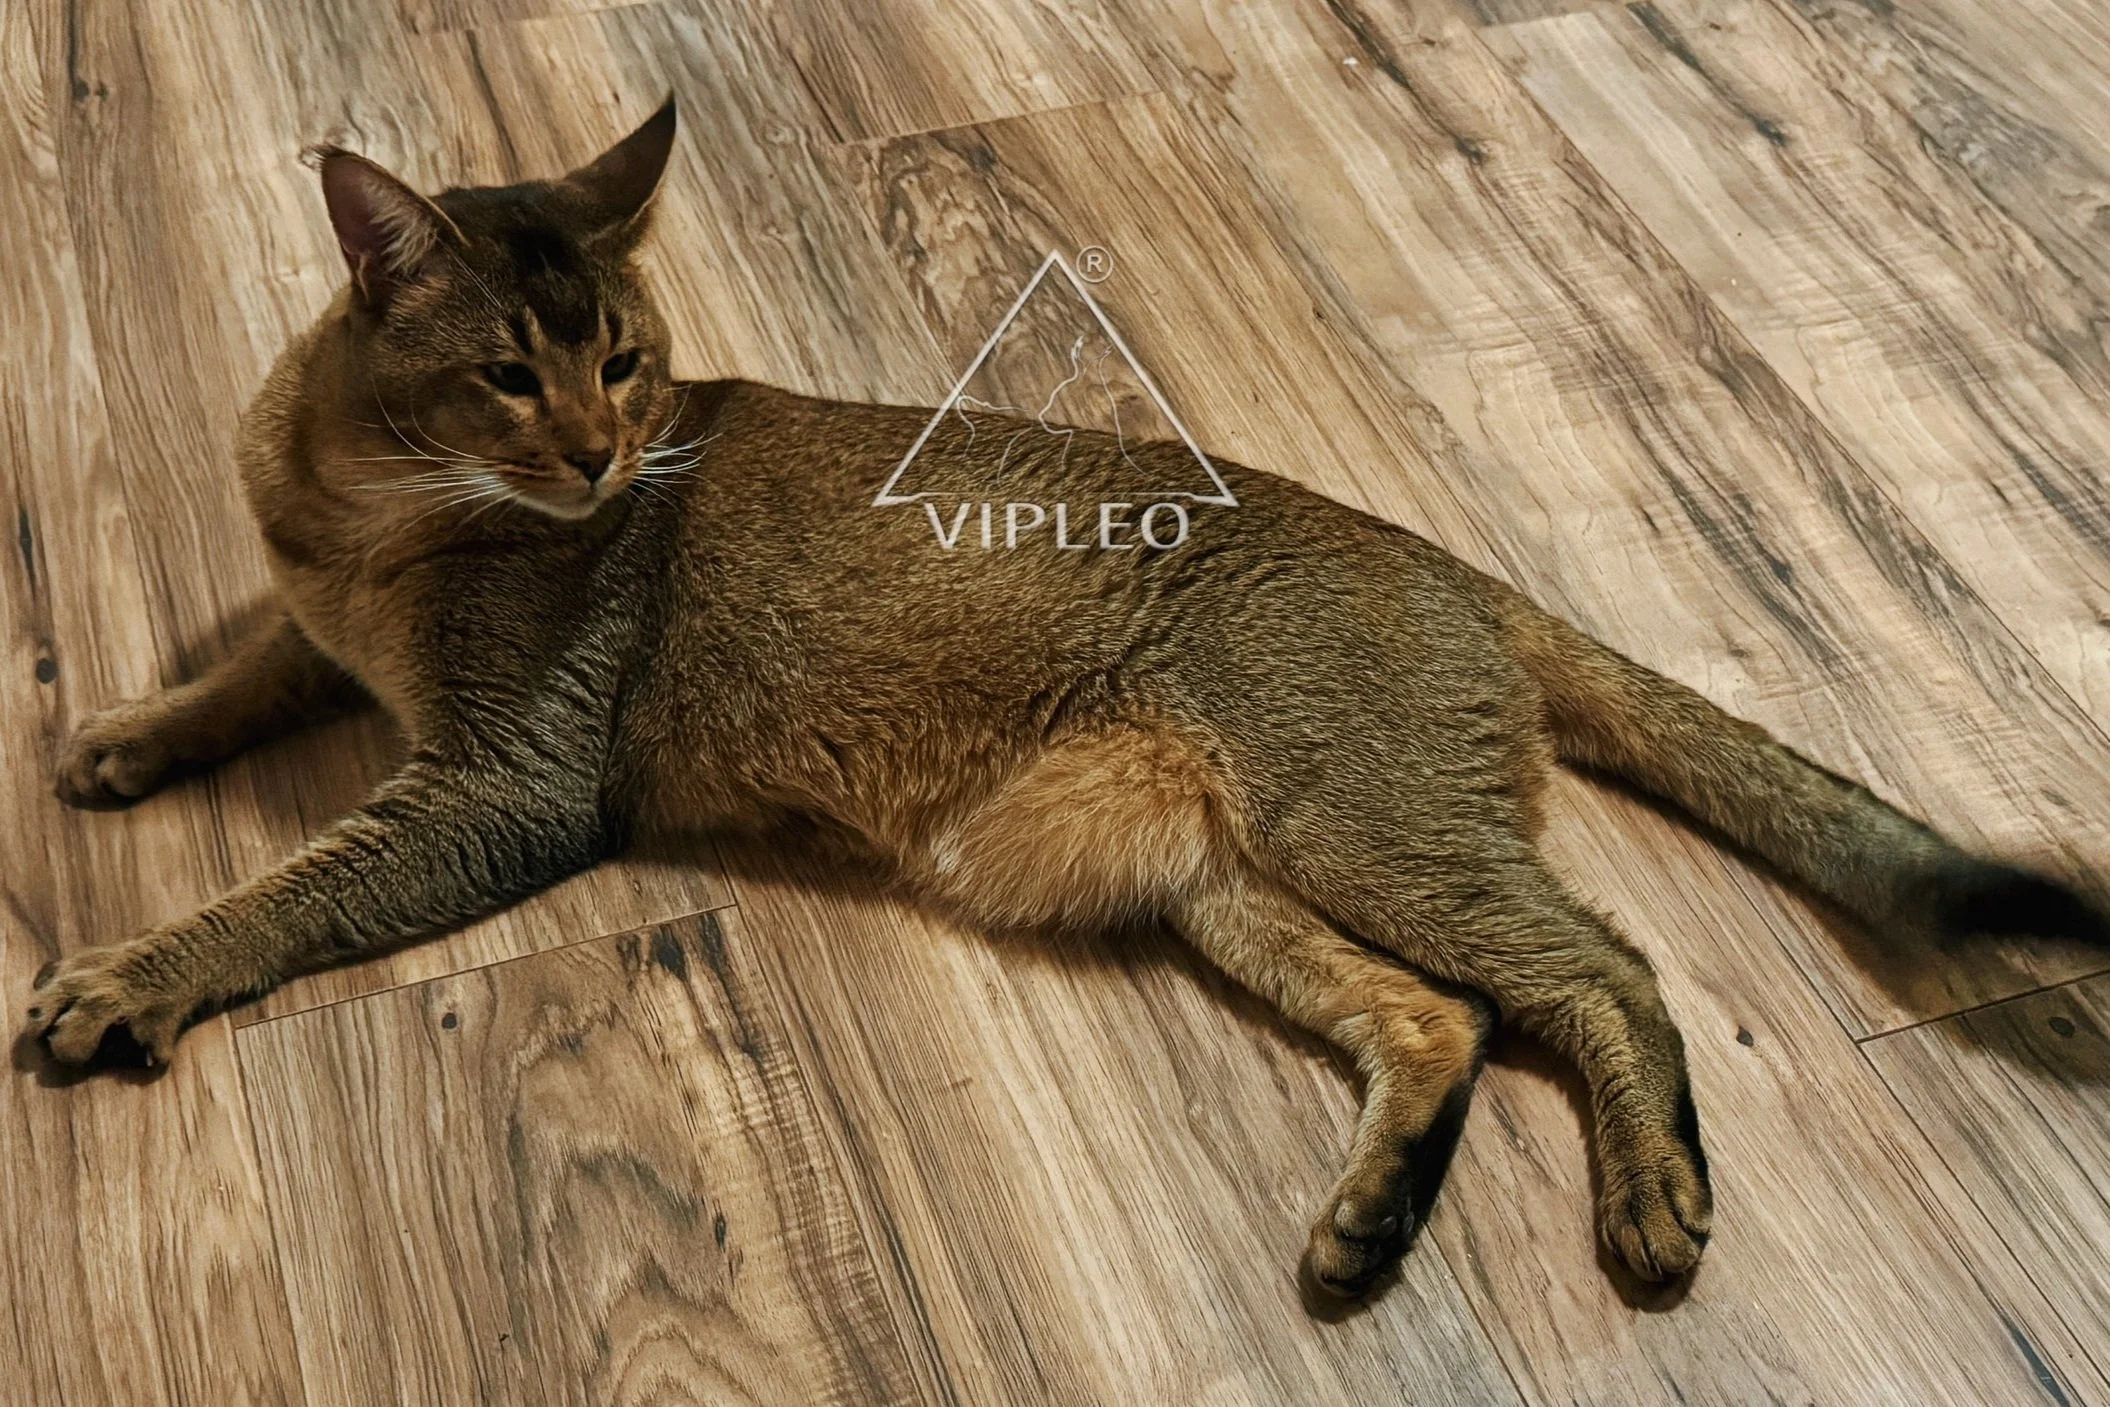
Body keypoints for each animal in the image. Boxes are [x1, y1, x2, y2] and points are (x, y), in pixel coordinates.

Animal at [27, 97, 2103, 1297]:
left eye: (625, 358)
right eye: (509, 376)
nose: (611, 457)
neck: (368, 505)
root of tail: (1471, 576)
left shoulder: (503, 785)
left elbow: (284, 892)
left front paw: (126, 973)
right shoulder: (334, 637)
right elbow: (241, 668)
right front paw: (124, 736)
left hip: (1350, 820)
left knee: (1603, 964)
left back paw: (1655, 1201)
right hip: (1226, 880)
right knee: (1438, 1017)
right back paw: (1371, 1224)